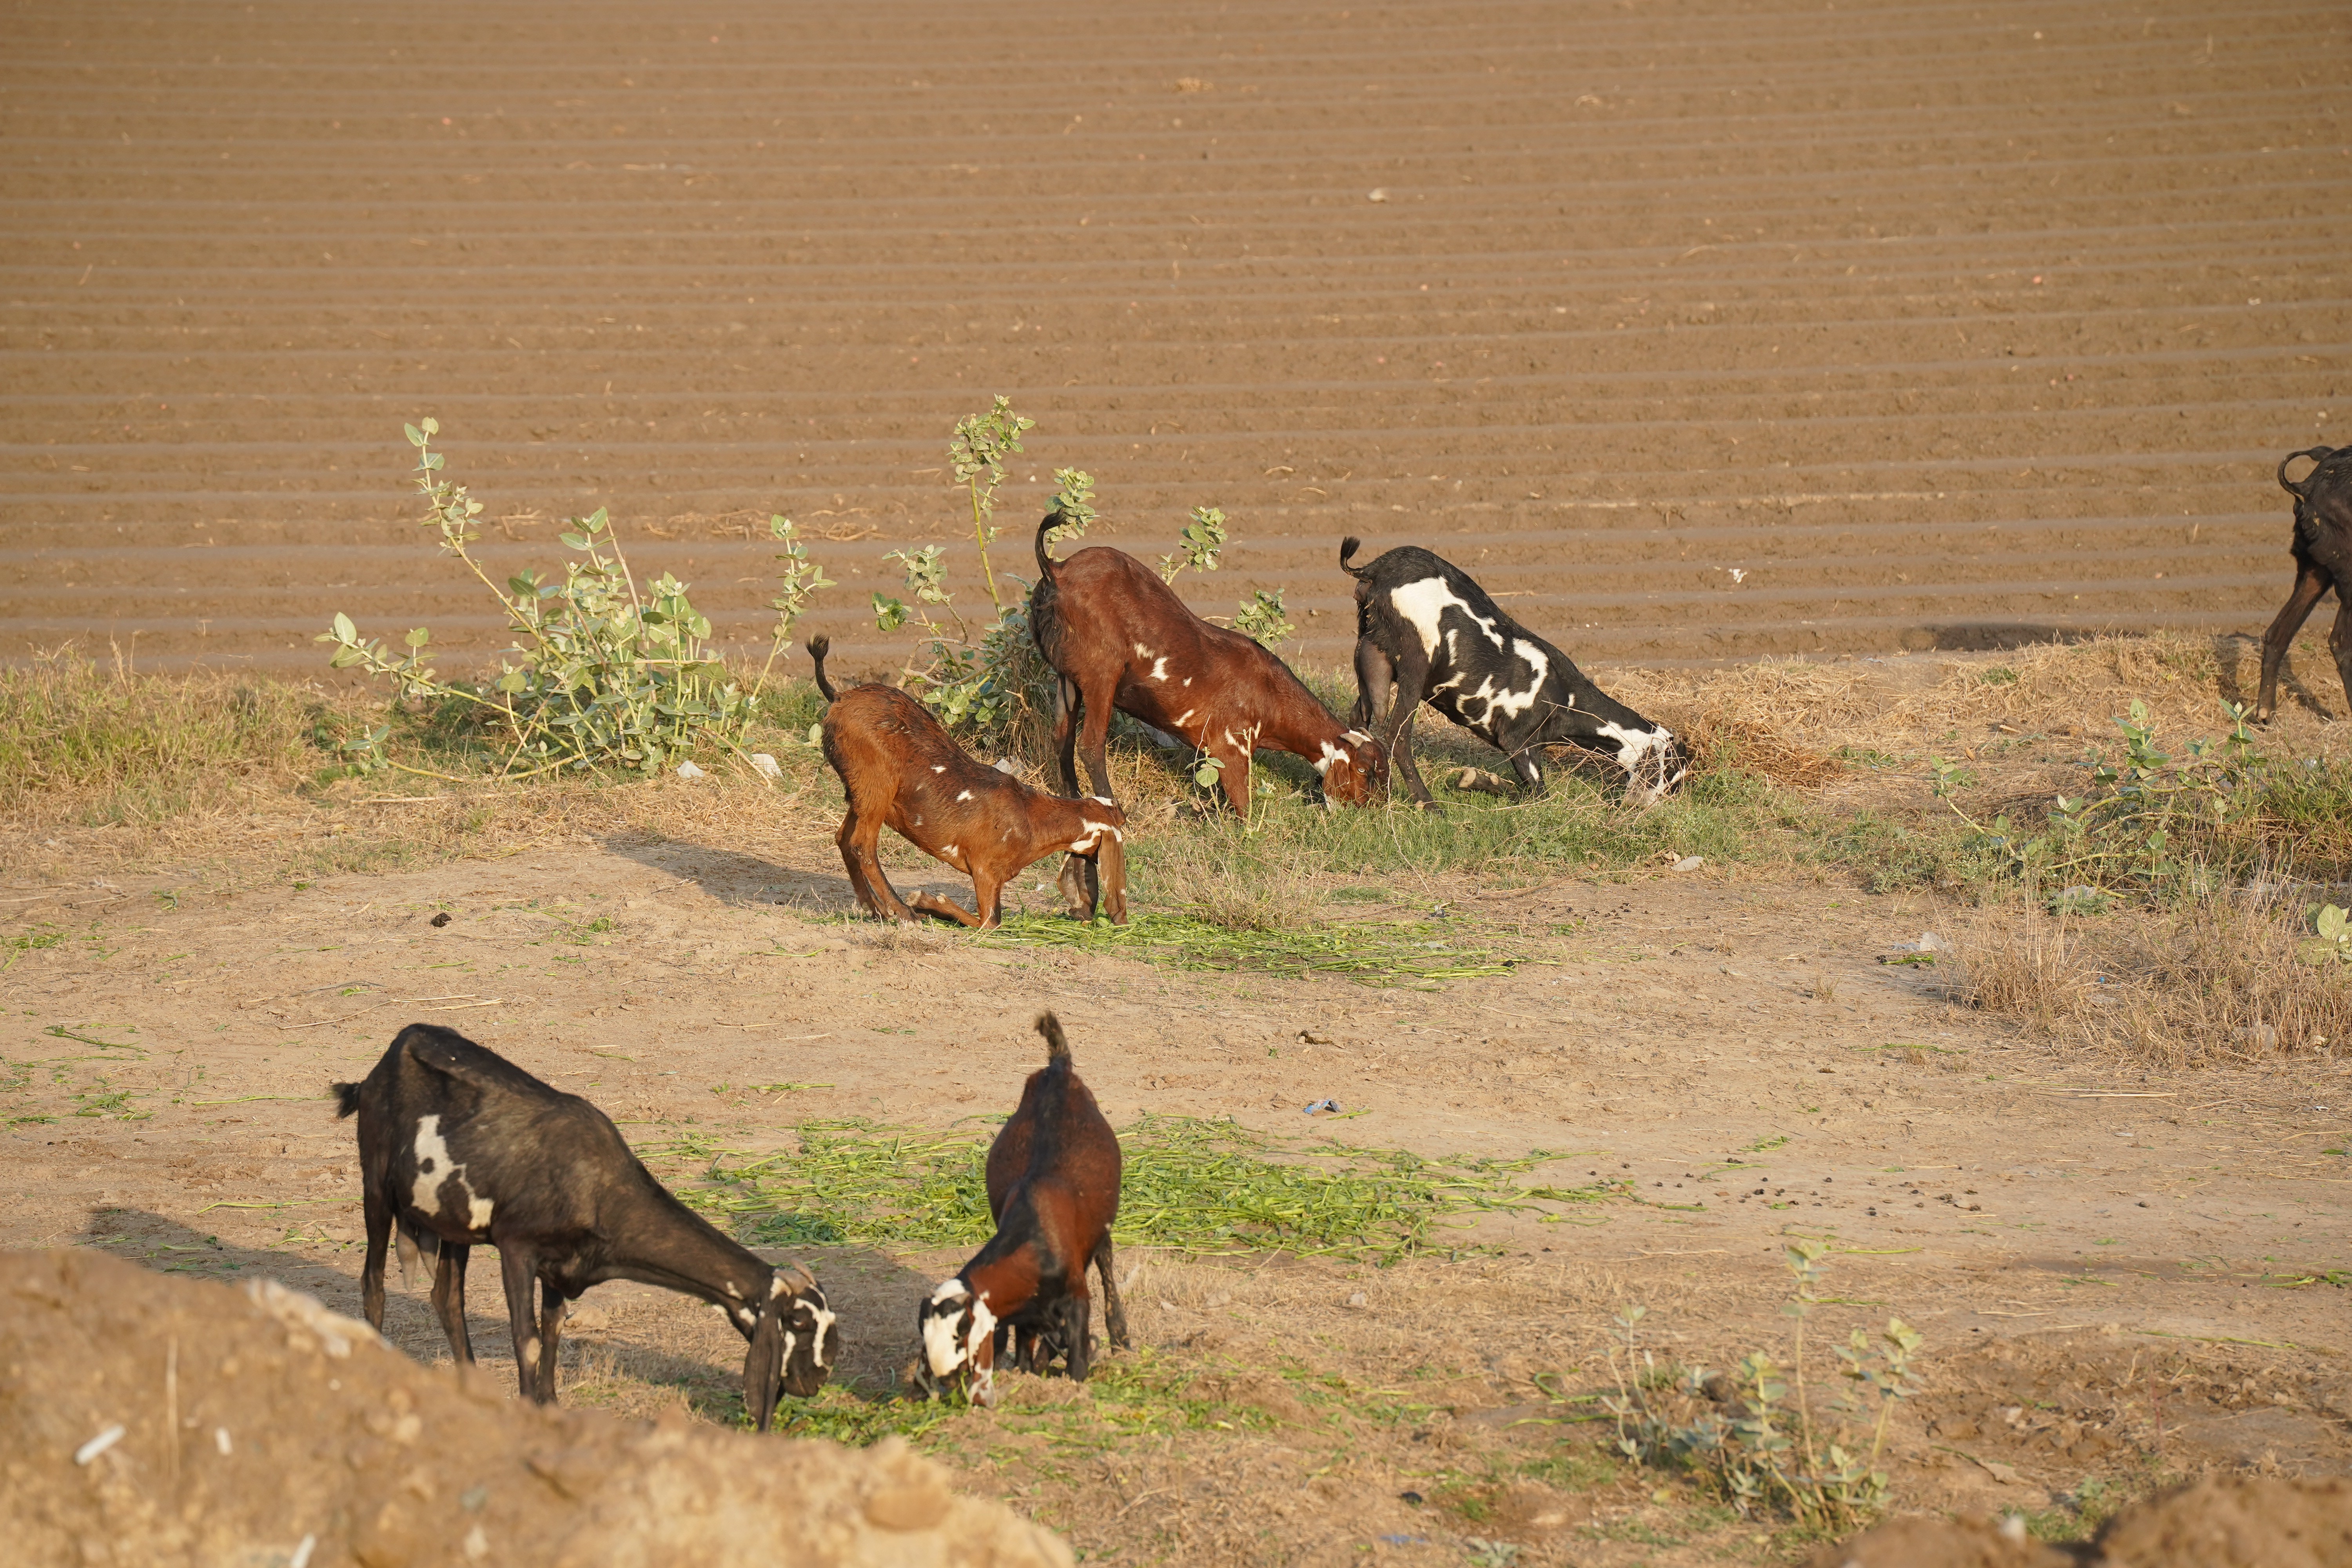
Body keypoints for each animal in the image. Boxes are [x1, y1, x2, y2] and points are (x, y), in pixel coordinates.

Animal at [333, 1023, 837, 1430]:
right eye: (797, 1320)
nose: (818, 1376)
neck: (600, 1188)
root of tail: (387, 1058)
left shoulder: (561, 1267)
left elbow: (554, 1329)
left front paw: (552, 1408)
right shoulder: (518, 1248)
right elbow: (528, 1339)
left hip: (455, 1223)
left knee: (447, 1298)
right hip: (376, 1184)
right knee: (374, 1284)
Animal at [808, 635, 1127, 927]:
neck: (1031, 818)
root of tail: (839, 697)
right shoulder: (985, 869)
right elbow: (990, 921)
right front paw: (925, 901)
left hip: (859, 790)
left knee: (844, 838)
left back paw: (875, 910)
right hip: (876, 785)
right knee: (862, 845)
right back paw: (902, 912)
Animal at [915, 1012, 1128, 1405]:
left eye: (961, 1349)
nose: (949, 1387)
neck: (1035, 1236)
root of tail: (1057, 1069)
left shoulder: (1076, 1302)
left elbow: (1077, 1361)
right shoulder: (1027, 1316)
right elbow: (1027, 1355)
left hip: (1103, 1230)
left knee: (1106, 1265)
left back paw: (1122, 1338)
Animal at [1030, 514, 1385, 815]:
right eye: (1363, 770)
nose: (1368, 809)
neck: (1270, 694)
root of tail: (1057, 571)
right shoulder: (1231, 745)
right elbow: (1244, 807)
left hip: (1066, 675)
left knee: (1062, 737)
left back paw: (1074, 800)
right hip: (1102, 672)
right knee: (1091, 745)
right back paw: (1114, 809)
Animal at [1339, 537, 1690, 808]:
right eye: (1665, 773)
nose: (1643, 808)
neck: (1565, 696)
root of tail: (1376, 569)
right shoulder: (1518, 741)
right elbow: (1539, 795)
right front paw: (1481, 782)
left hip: (1371, 653)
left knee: (1360, 721)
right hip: (1416, 661)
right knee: (1397, 734)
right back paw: (1428, 803)